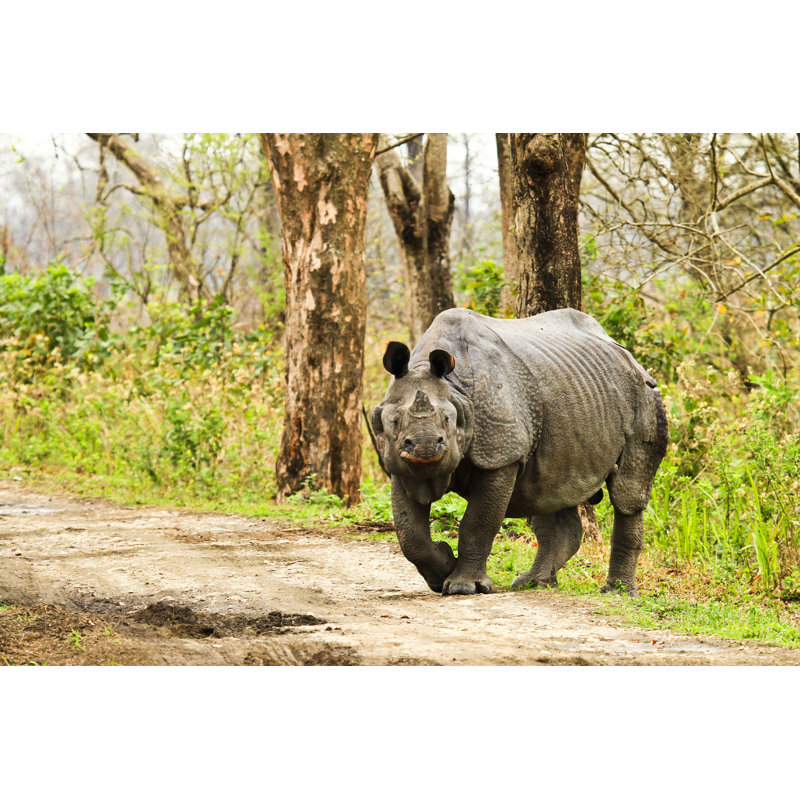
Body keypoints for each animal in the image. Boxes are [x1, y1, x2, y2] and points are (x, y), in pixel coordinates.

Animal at [370, 307, 668, 596]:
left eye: (447, 419)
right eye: (394, 421)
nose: (426, 445)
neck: (457, 391)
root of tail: (628, 356)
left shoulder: (502, 456)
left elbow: (478, 522)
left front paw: (463, 587)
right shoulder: (399, 462)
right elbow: (409, 533)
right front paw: (443, 565)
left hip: (644, 395)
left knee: (627, 494)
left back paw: (617, 593)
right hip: (574, 395)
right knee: (548, 490)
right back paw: (534, 583)